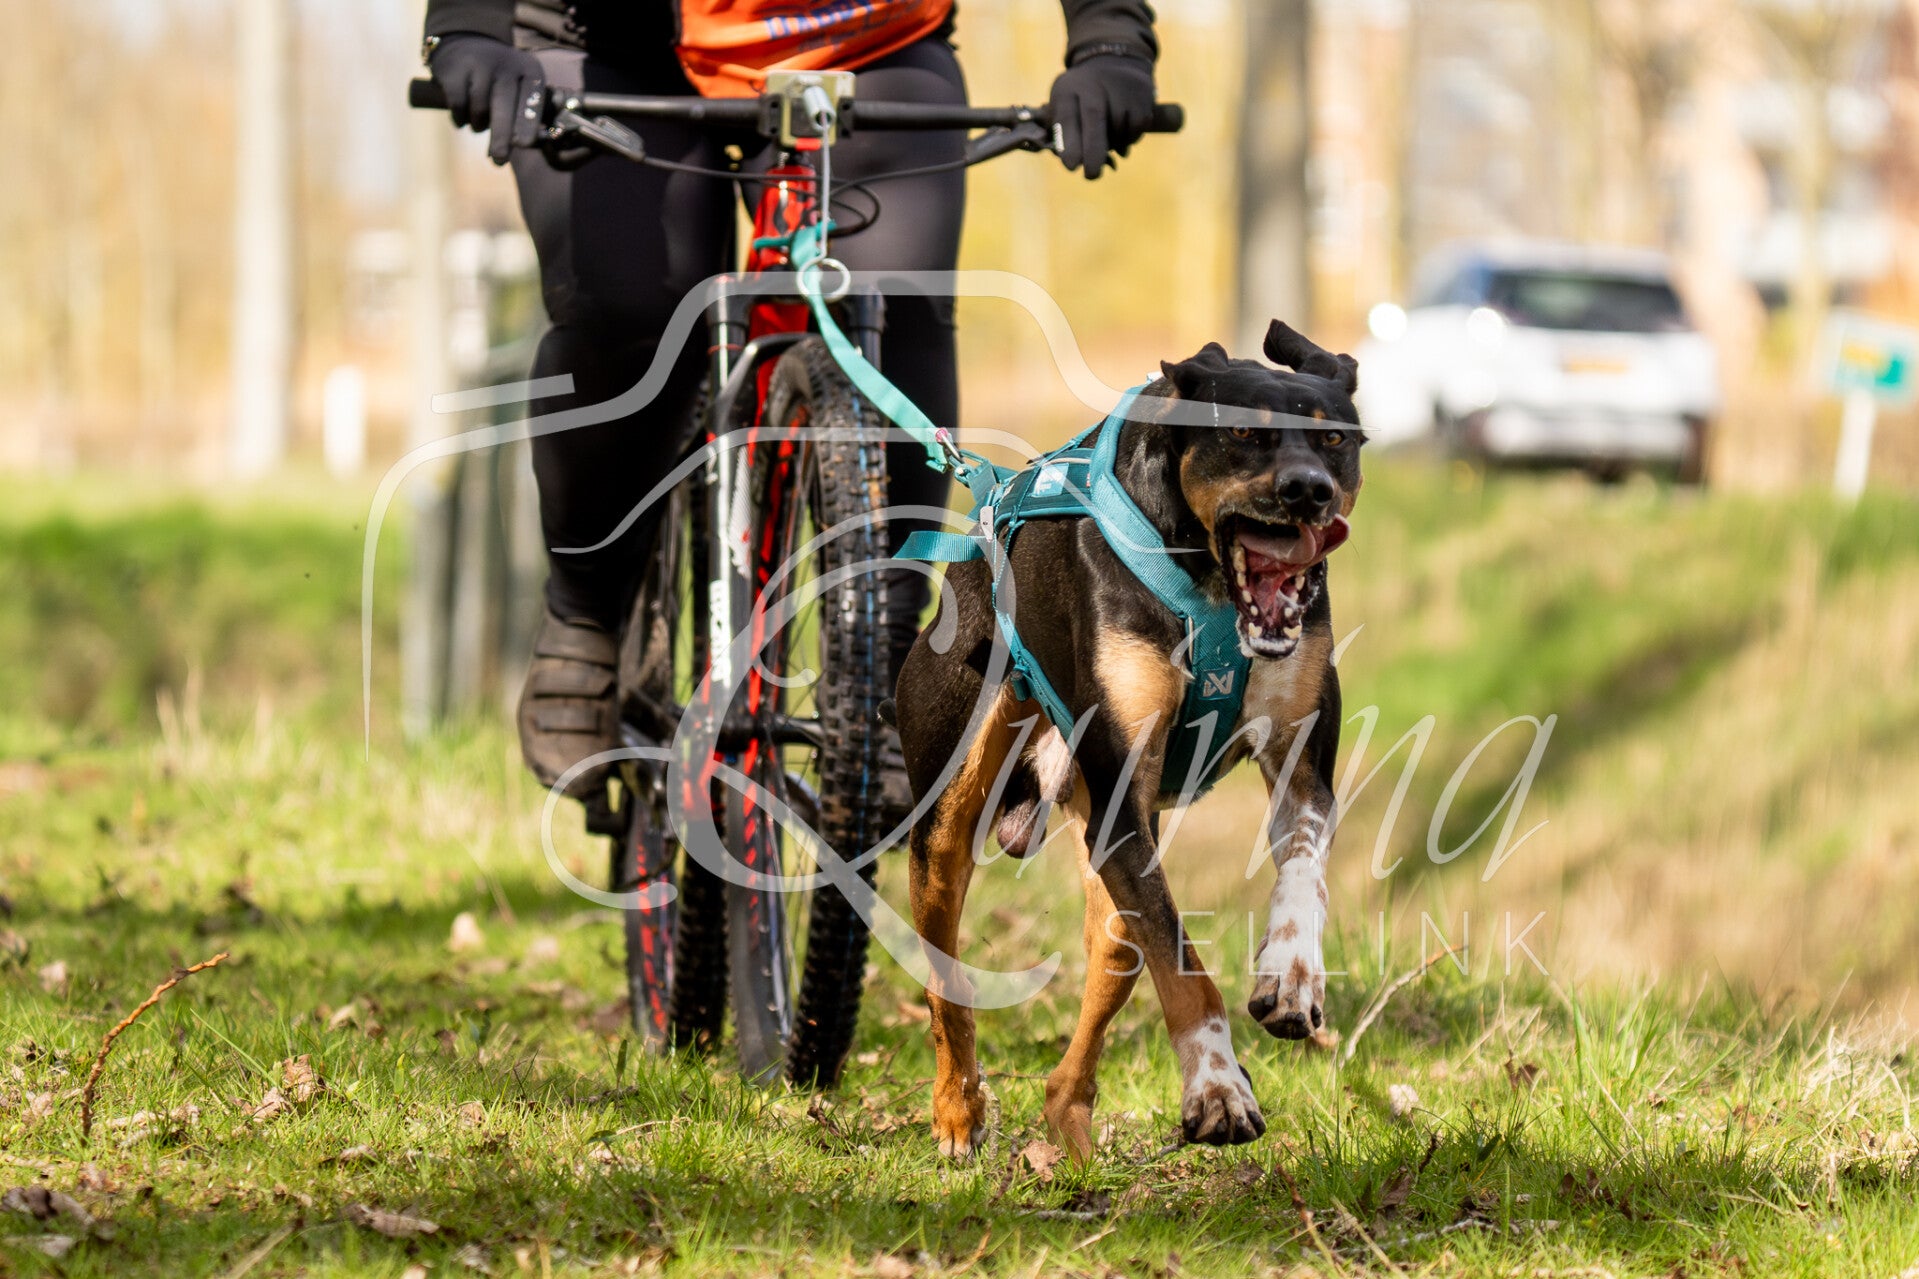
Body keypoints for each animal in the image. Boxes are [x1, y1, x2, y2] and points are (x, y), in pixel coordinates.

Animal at [893, 320, 1363, 1161]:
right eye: (1242, 432)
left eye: (1335, 439)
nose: (1307, 490)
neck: (1211, 585)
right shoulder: (1119, 801)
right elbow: (1187, 968)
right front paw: (1217, 1087)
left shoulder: (1299, 768)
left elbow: (1301, 872)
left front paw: (1291, 974)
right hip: (948, 818)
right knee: (946, 979)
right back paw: (956, 1111)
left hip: (1108, 853)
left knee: (1116, 952)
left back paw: (1068, 1128)